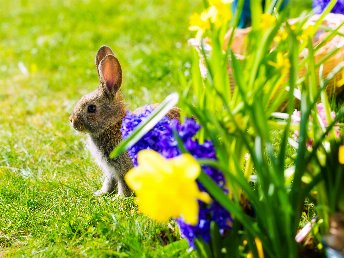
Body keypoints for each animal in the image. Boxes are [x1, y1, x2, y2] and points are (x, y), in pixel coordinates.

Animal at [68, 46, 179, 197]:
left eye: (91, 108)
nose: (72, 121)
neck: (111, 125)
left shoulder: (124, 168)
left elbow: (123, 183)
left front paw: (119, 197)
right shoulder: (110, 170)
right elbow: (109, 181)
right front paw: (101, 193)